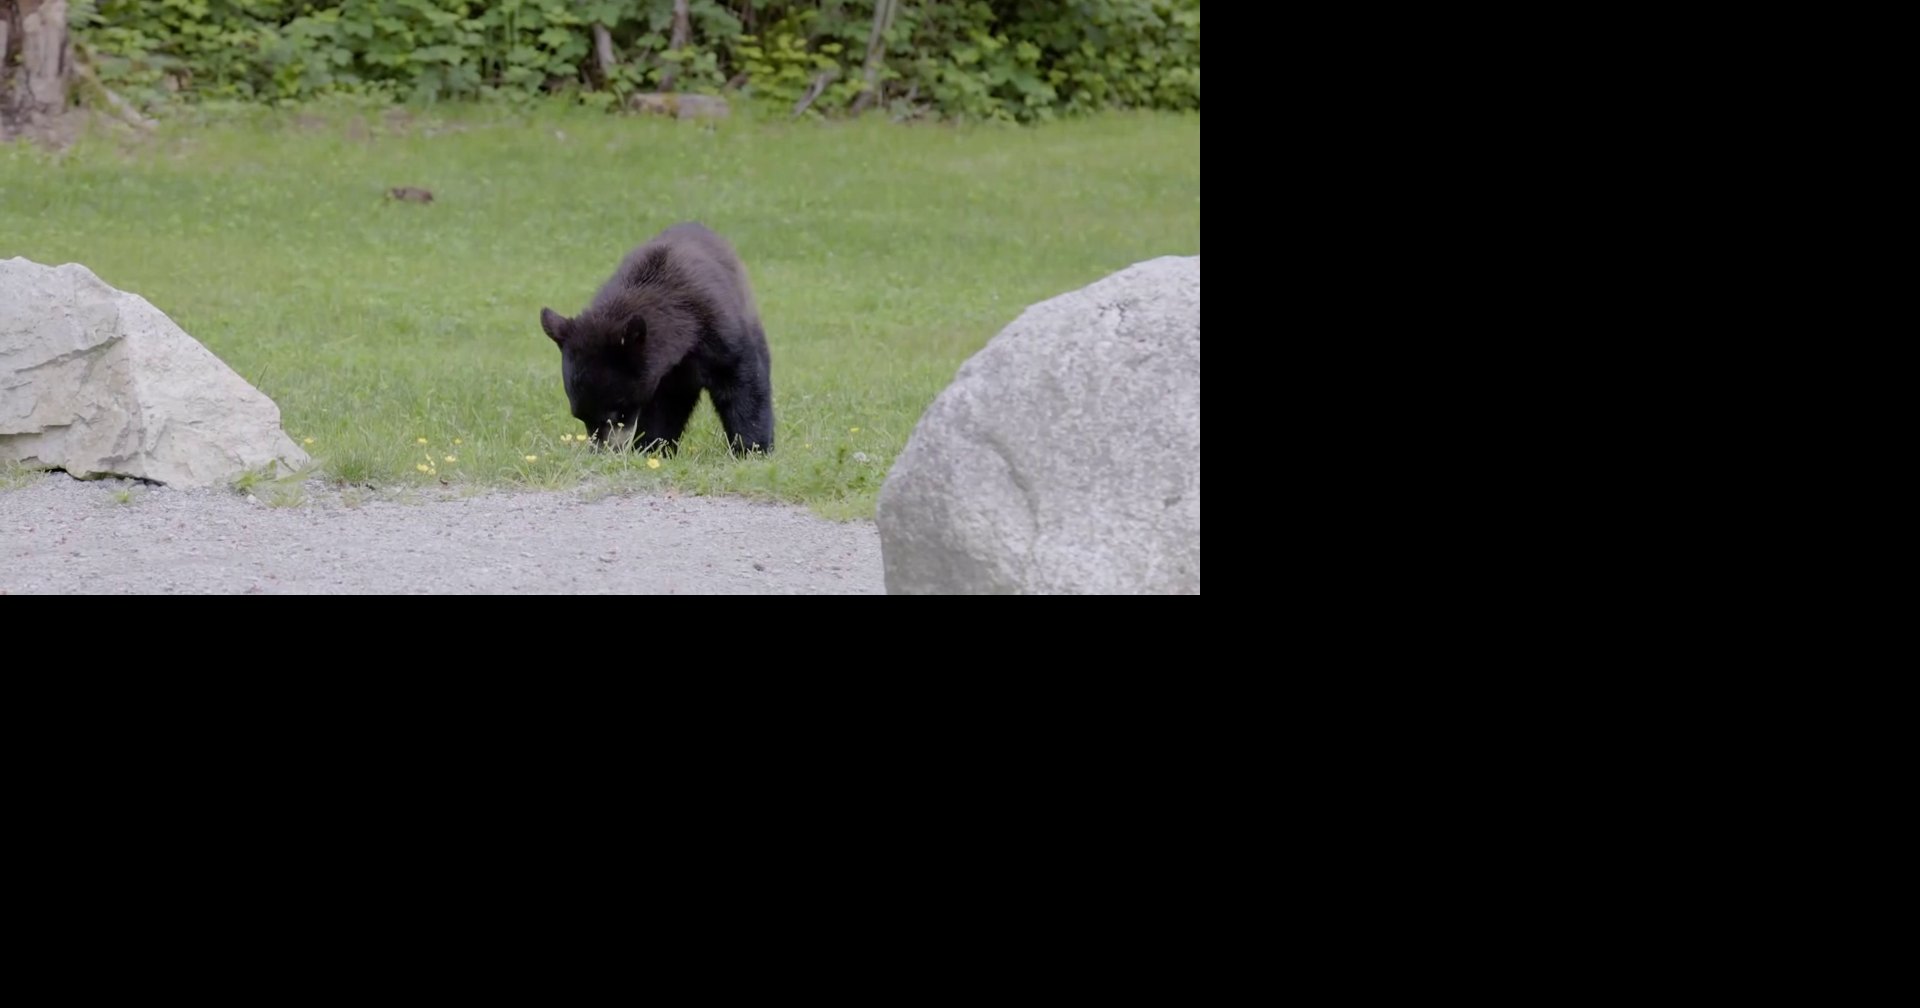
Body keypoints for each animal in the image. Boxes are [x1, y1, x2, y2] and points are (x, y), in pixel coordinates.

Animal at [539, 222, 774, 455]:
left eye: (617, 411)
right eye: (580, 416)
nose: (603, 451)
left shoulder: (718, 332)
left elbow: (741, 383)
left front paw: (753, 448)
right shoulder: (664, 375)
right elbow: (664, 409)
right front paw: (652, 447)